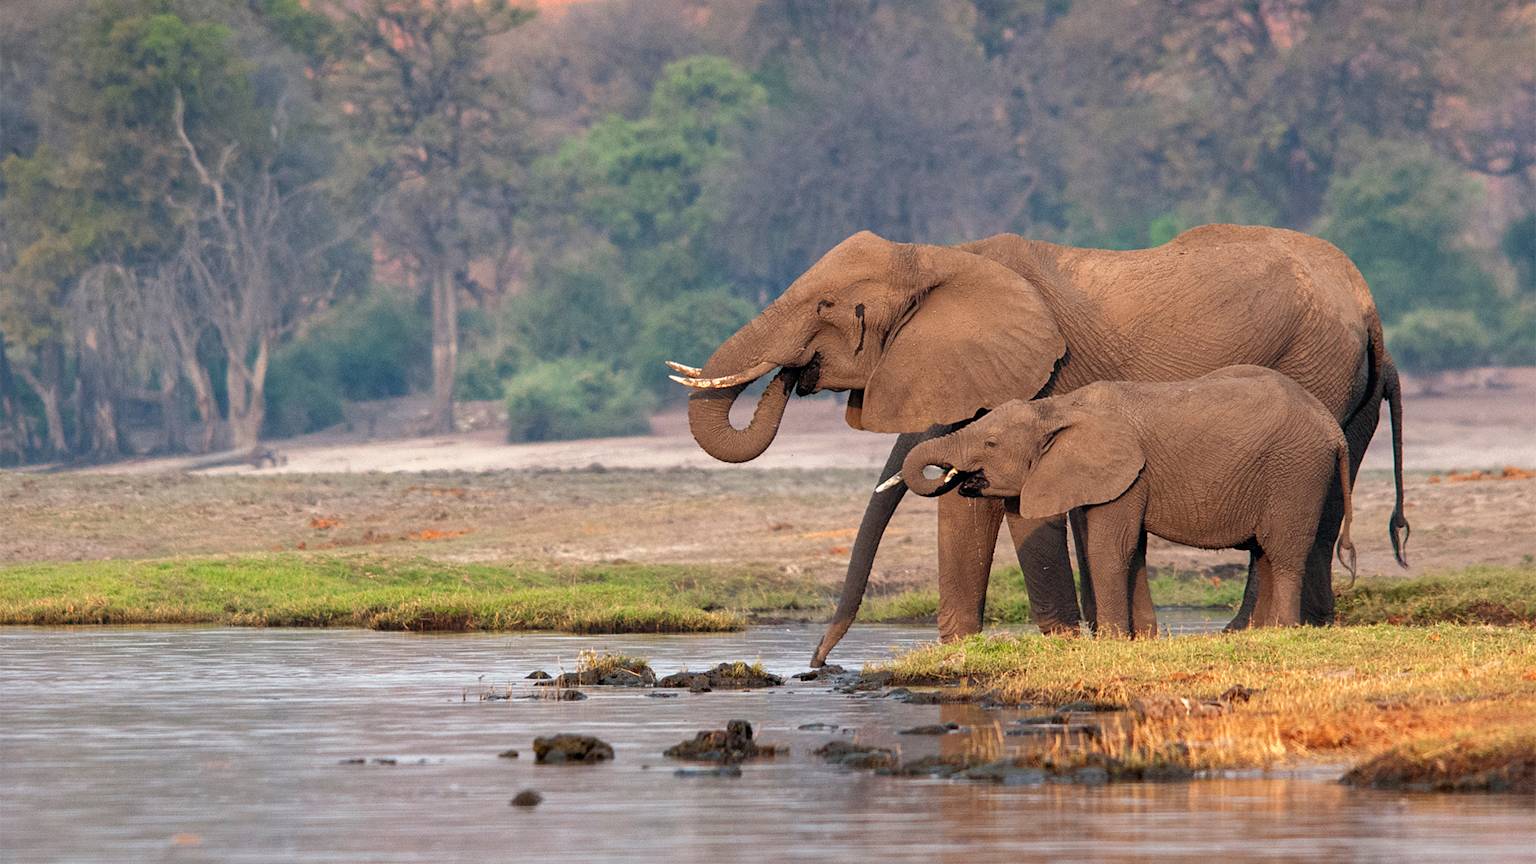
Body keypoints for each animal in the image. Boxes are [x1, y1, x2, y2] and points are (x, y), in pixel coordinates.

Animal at [890, 366, 1359, 635]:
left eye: (989, 443)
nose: (962, 477)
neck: (1059, 408)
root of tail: (1334, 430)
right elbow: (1126, 548)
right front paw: (1143, 638)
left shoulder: (1128, 473)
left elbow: (1108, 548)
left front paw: (1114, 639)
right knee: (1264, 552)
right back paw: (1261, 633)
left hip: (1295, 474)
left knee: (1284, 553)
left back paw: (1284, 631)